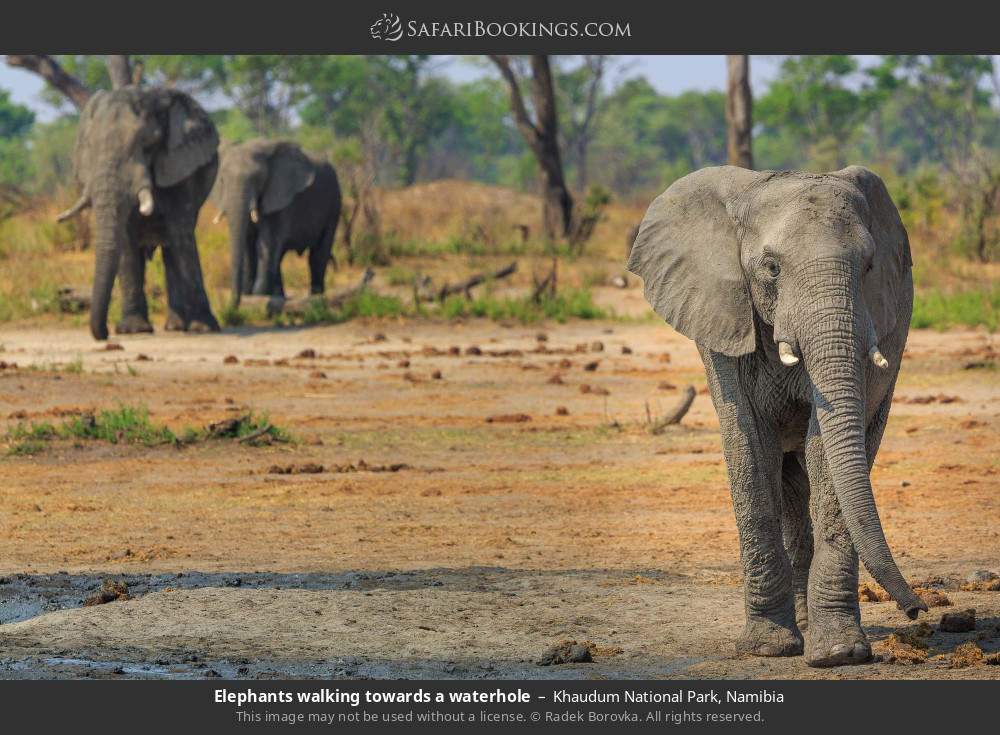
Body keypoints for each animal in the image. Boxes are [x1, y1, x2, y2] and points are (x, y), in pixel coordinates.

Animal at [59, 86, 221, 341]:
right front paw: (132, 330)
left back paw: (178, 326)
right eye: (91, 148)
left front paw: (203, 328)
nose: (105, 334)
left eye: (147, 144)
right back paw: (174, 326)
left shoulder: (180, 165)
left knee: (174, 244)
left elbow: (180, 235)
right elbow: (126, 242)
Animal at [212, 139, 341, 307]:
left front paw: (258, 295)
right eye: (222, 180)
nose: (233, 304)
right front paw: (251, 294)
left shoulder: (280, 200)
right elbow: (248, 244)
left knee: (318, 255)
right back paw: (280, 295)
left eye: (258, 179)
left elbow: (265, 244)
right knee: (280, 256)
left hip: (334, 204)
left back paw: (316, 297)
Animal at [627, 165, 924, 667]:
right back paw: (798, 627)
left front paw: (839, 654)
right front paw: (768, 647)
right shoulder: (724, 322)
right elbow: (749, 442)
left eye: (868, 267)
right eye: (771, 268)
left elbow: (825, 448)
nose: (918, 610)